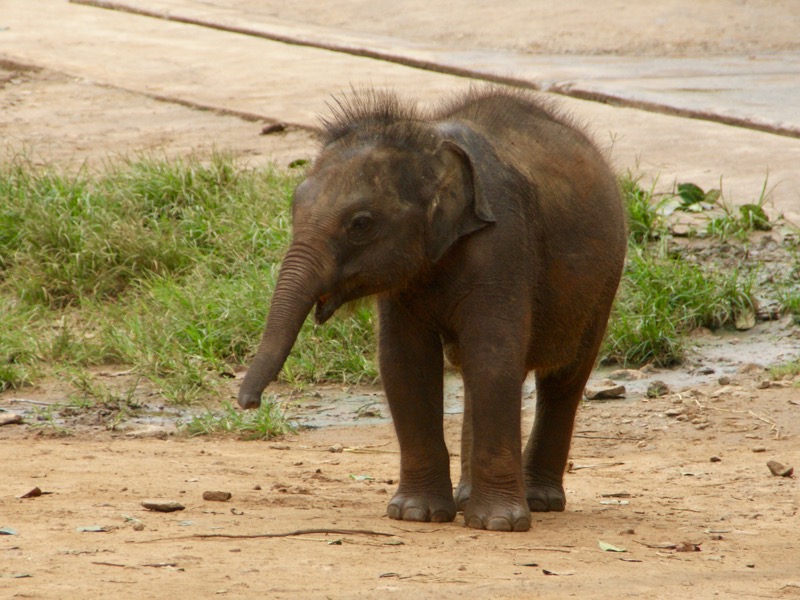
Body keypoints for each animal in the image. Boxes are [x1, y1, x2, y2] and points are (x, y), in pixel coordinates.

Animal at [241, 88, 628, 528]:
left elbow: (493, 357)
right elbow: (404, 363)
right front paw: (415, 514)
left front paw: (498, 524)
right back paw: (467, 498)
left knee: (563, 379)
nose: (249, 403)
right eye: (294, 208)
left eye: (360, 223)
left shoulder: (503, 245)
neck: (430, 142)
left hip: (603, 282)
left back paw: (539, 501)